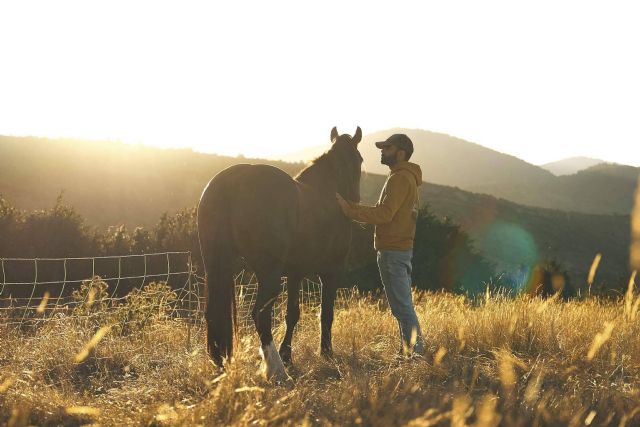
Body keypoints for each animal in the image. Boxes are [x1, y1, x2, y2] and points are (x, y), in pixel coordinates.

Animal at [198, 126, 362, 382]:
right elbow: (326, 313)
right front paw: (326, 352)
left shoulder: (295, 274)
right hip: (268, 274)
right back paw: (276, 370)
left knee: (214, 315)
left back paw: (222, 364)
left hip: (216, 265)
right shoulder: (331, 273)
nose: (355, 202)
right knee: (261, 315)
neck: (327, 194)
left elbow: (292, 314)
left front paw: (288, 355)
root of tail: (232, 182)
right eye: (360, 160)